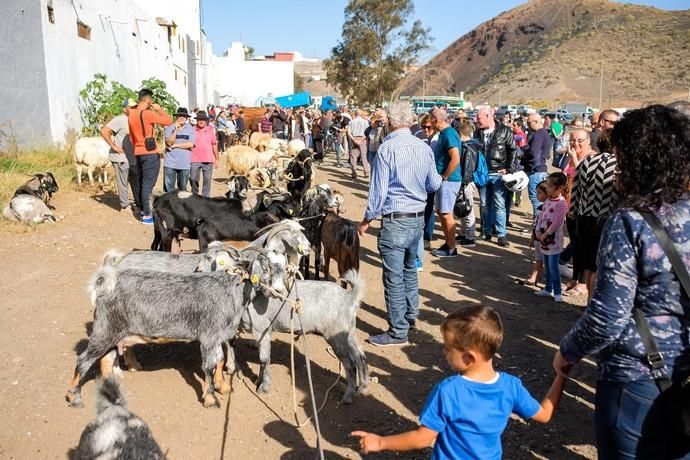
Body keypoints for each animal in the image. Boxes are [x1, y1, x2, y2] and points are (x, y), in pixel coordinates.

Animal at [66, 246, 288, 408]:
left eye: (285, 268)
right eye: (267, 268)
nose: (279, 291)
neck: (230, 289)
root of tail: (104, 287)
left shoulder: (217, 336)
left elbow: (220, 360)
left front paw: (223, 387)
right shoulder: (208, 336)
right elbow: (208, 366)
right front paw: (210, 398)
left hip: (115, 333)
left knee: (106, 359)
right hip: (105, 330)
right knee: (84, 360)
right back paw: (73, 397)